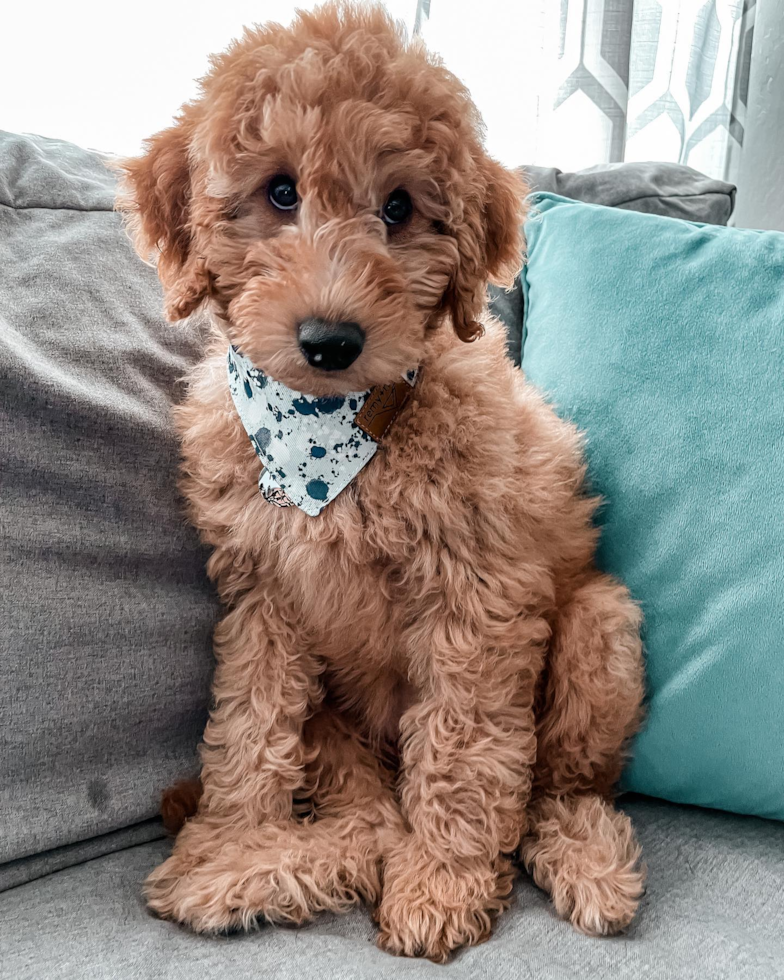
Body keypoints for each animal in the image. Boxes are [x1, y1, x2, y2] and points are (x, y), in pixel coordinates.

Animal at [116, 1, 644, 964]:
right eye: (279, 192)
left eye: (399, 208)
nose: (330, 340)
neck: (332, 439)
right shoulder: (263, 593)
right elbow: (248, 728)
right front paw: (233, 839)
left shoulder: (478, 598)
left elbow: (465, 749)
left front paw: (441, 886)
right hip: (338, 725)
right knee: (368, 814)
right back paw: (259, 866)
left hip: (601, 626)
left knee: (553, 788)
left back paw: (583, 860)